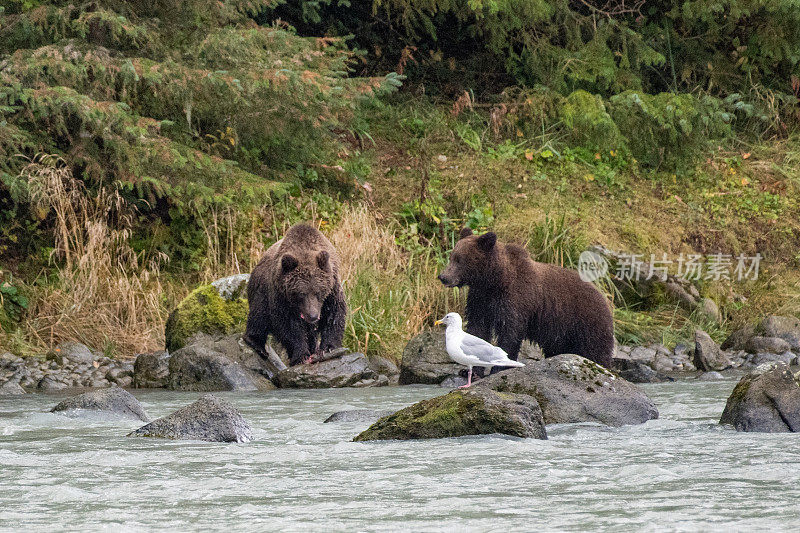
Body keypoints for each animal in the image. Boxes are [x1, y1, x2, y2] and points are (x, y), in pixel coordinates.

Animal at [242, 221, 346, 366]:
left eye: (318, 292)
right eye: (301, 293)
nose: (313, 316)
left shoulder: (332, 290)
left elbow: (334, 314)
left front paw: (328, 347)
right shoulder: (280, 295)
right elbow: (288, 325)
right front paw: (300, 355)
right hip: (260, 291)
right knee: (259, 315)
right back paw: (256, 344)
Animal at [438, 227, 612, 368]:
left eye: (460, 260)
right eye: (452, 256)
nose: (443, 277)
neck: (495, 281)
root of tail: (605, 298)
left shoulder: (516, 300)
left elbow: (510, 333)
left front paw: (500, 366)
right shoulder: (480, 300)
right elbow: (477, 329)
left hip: (587, 323)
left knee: (595, 351)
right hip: (561, 333)